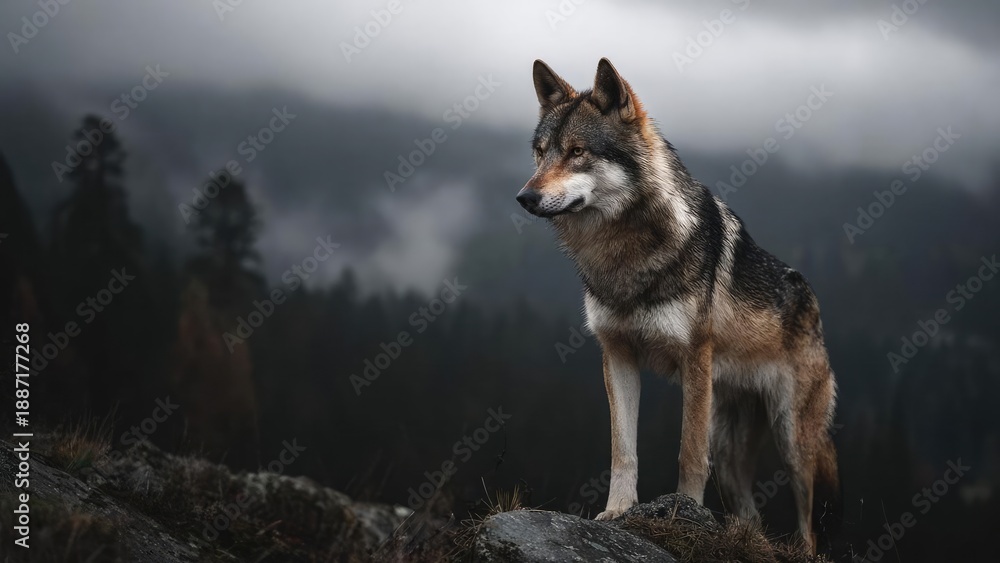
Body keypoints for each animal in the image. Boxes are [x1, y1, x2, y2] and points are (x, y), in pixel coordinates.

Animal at [516, 58, 838, 551]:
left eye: (576, 152)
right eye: (541, 152)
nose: (525, 197)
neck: (623, 254)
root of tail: (811, 298)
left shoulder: (695, 360)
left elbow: (688, 452)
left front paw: (681, 514)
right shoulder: (617, 355)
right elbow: (623, 450)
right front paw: (617, 512)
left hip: (792, 441)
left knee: (808, 525)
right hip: (729, 450)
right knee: (752, 516)